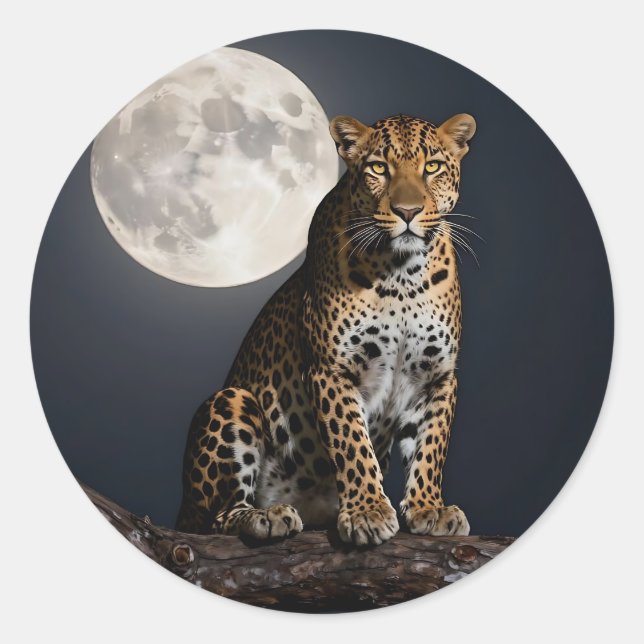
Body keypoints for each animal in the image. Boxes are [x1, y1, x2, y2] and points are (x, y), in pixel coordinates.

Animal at [175, 111, 476, 546]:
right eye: (378, 168)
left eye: (432, 167)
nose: (407, 211)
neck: (402, 275)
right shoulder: (332, 370)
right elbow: (352, 443)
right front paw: (368, 512)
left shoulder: (437, 376)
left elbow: (431, 446)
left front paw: (428, 508)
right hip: (232, 400)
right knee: (216, 517)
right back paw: (265, 517)